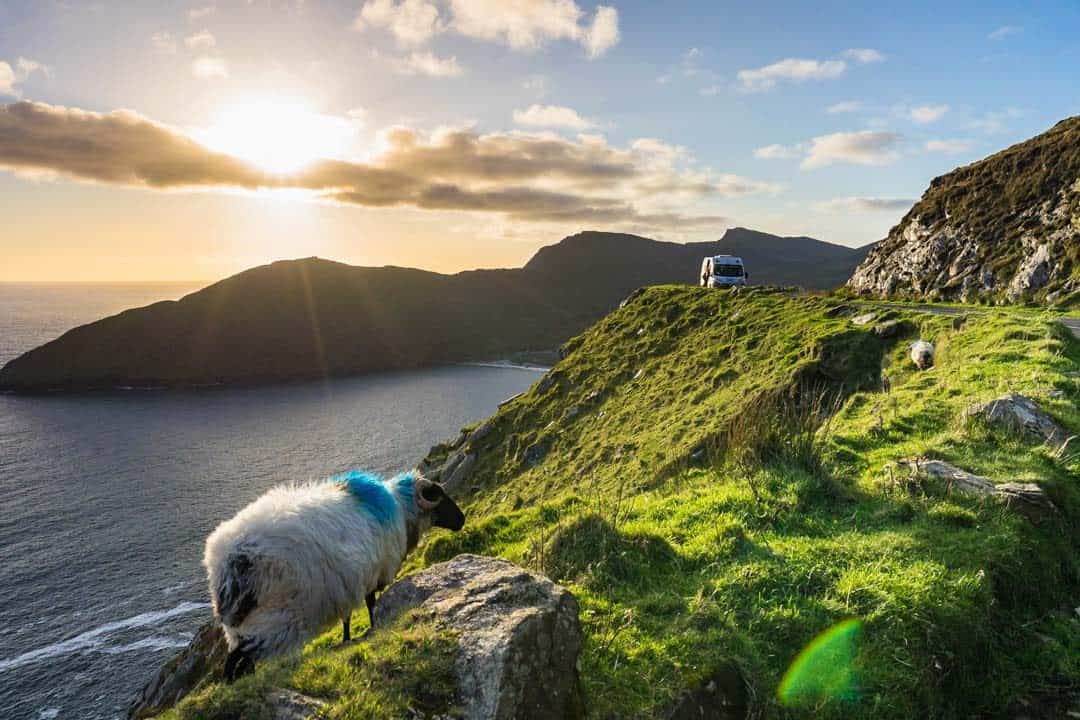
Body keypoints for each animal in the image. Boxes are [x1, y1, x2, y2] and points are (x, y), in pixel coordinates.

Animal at [203, 468, 464, 682]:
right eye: (440, 499)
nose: (461, 520)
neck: (401, 509)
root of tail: (230, 564)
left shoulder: (347, 584)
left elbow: (347, 617)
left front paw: (346, 639)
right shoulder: (371, 575)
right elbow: (370, 605)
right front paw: (372, 628)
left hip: (243, 626)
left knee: (241, 660)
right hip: (275, 618)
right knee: (237, 658)